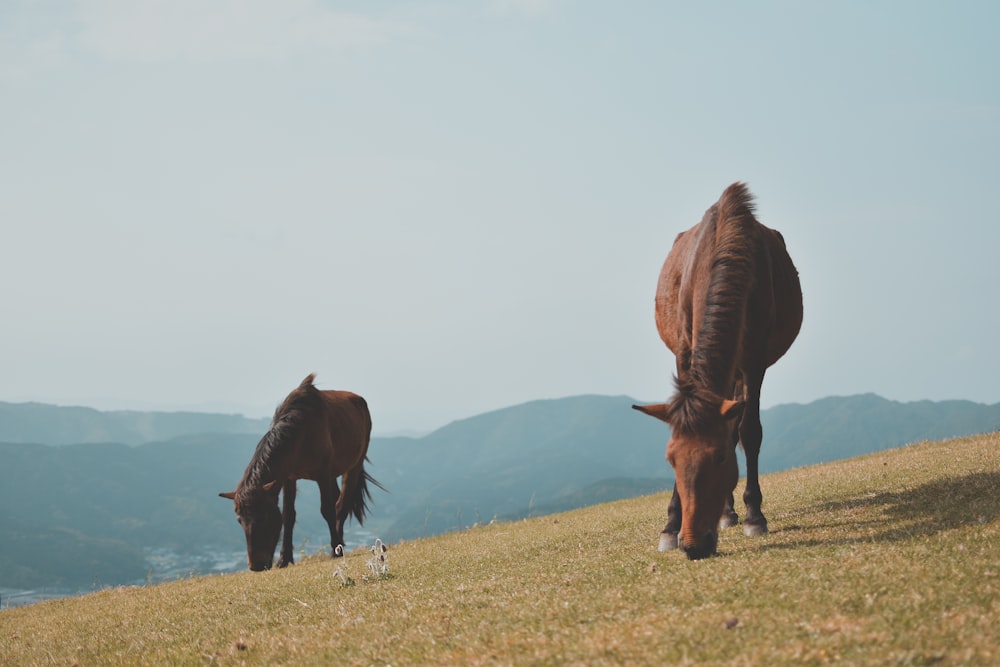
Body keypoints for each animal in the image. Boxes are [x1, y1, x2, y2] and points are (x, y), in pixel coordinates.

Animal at [219, 374, 382, 572]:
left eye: (264, 516)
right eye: (239, 520)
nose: (256, 565)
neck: (300, 433)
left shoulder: (322, 474)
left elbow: (327, 510)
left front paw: (334, 550)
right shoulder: (289, 478)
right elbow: (288, 516)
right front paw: (284, 558)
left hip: (353, 467)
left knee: (341, 505)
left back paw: (337, 547)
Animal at [632, 183, 804, 560]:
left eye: (721, 458)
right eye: (670, 459)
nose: (694, 545)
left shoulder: (754, 358)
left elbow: (749, 431)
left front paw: (755, 515)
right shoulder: (684, 351)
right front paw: (670, 526)